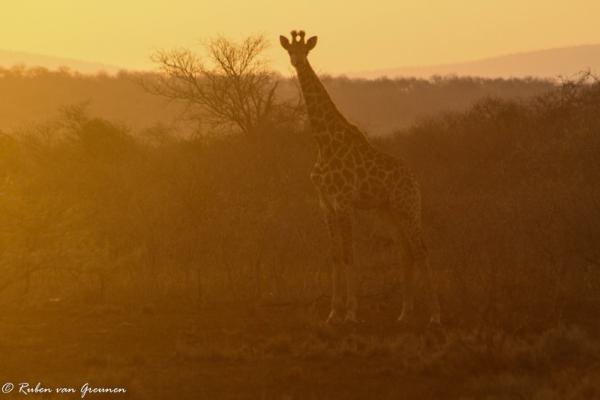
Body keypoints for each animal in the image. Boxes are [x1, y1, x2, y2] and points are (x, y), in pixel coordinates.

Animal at [280, 30, 440, 324]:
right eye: (289, 50)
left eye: (305, 50)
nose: (297, 61)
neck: (324, 142)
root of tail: (414, 180)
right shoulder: (326, 204)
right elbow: (335, 255)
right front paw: (333, 312)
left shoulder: (344, 202)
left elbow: (350, 254)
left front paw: (352, 312)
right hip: (388, 211)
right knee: (405, 252)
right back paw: (404, 313)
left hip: (408, 207)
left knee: (421, 249)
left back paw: (434, 315)